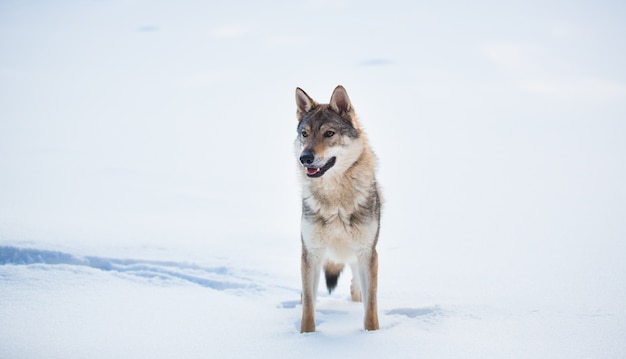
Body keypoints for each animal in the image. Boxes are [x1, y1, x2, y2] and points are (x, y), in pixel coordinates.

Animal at [294, 86, 380, 334]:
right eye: (305, 134)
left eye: (329, 133)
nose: (305, 158)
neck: (336, 202)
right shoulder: (311, 253)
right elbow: (309, 307)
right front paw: (306, 336)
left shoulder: (368, 253)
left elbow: (371, 309)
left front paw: (373, 336)